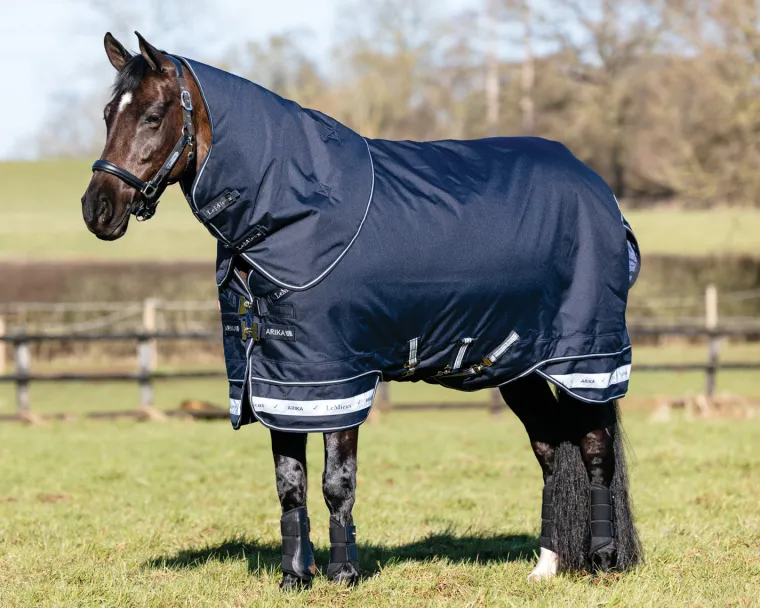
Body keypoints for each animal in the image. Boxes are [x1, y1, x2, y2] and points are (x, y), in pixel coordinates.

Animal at [81, 32, 642, 589]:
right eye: (108, 114)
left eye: (153, 115)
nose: (97, 209)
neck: (293, 210)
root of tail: (598, 188)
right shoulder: (280, 380)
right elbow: (290, 483)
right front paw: (294, 577)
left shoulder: (338, 378)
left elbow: (337, 481)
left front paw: (344, 573)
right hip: (518, 366)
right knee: (550, 451)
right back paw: (546, 566)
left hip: (586, 360)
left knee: (595, 449)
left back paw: (603, 560)